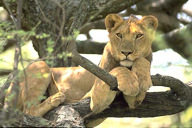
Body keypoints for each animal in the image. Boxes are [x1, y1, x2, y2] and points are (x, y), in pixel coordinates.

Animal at [4, 13, 158, 117]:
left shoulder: (134, 102)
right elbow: (117, 68)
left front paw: (143, 79)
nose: (126, 52)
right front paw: (130, 83)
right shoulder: (94, 98)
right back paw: (55, 98)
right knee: (28, 111)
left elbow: (142, 61)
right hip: (40, 65)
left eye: (139, 36)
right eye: (119, 35)